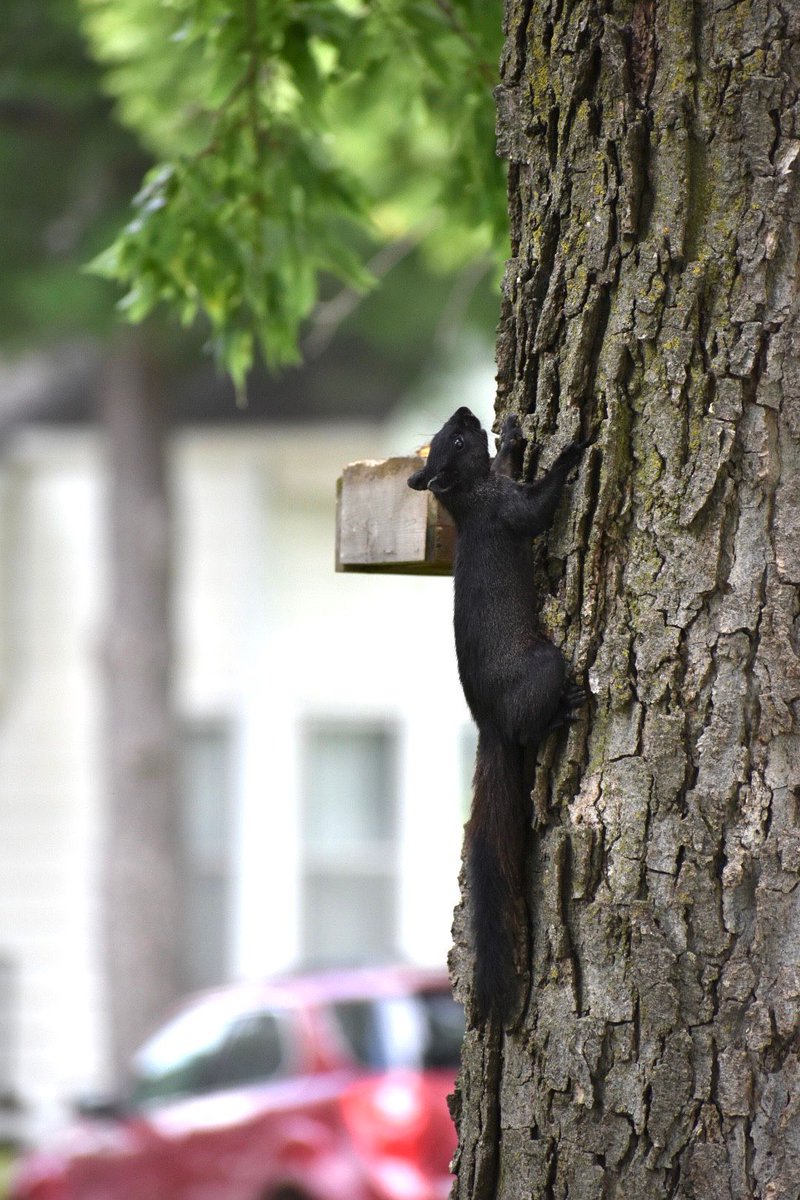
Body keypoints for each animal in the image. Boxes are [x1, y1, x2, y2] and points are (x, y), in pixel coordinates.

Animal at [408, 406, 589, 1023]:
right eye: (458, 441)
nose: (467, 412)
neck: (468, 499)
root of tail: (487, 723)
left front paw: (512, 438)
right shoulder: (505, 510)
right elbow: (535, 511)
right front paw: (574, 450)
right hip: (543, 667)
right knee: (528, 724)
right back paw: (561, 713)